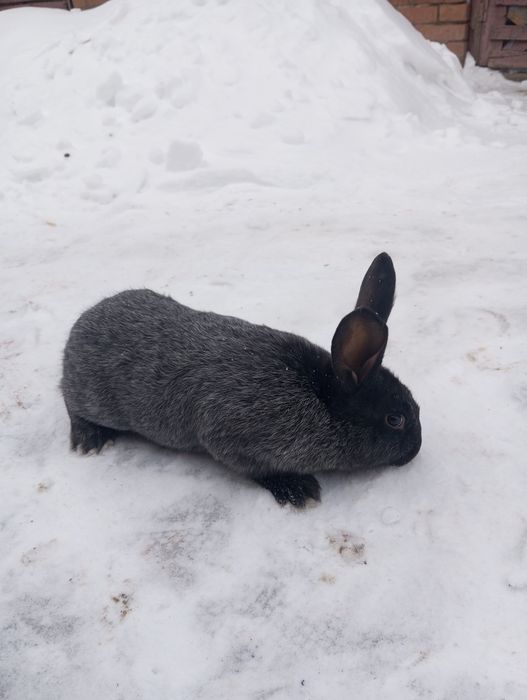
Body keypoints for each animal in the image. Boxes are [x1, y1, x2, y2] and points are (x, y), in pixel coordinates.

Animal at [61, 253, 421, 507]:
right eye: (395, 420)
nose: (415, 451)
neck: (317, 393)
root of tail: (81, 324)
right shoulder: (231, 437)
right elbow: (257, 469)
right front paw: (298, 489)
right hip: (94, 397)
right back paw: (89, 439)